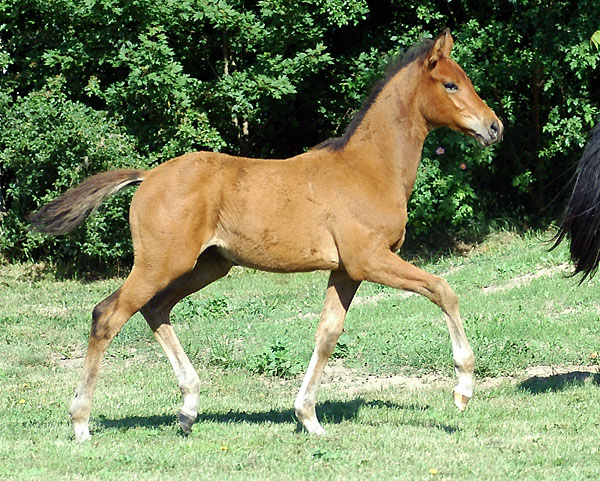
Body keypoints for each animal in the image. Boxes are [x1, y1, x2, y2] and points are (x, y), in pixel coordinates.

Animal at [31, 30, 502, 440]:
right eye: (450, 84)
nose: (495, 127)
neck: (369, 168)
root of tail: (147, 177)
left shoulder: (346, 270)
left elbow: (327, 334)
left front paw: (308, 418)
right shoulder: (370, 259)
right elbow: (443, 289)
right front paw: (462, 389)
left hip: (206, 267)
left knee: (155, 309)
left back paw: (188, 409)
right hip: (161, 263)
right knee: (107, 315)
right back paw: (81, 423)